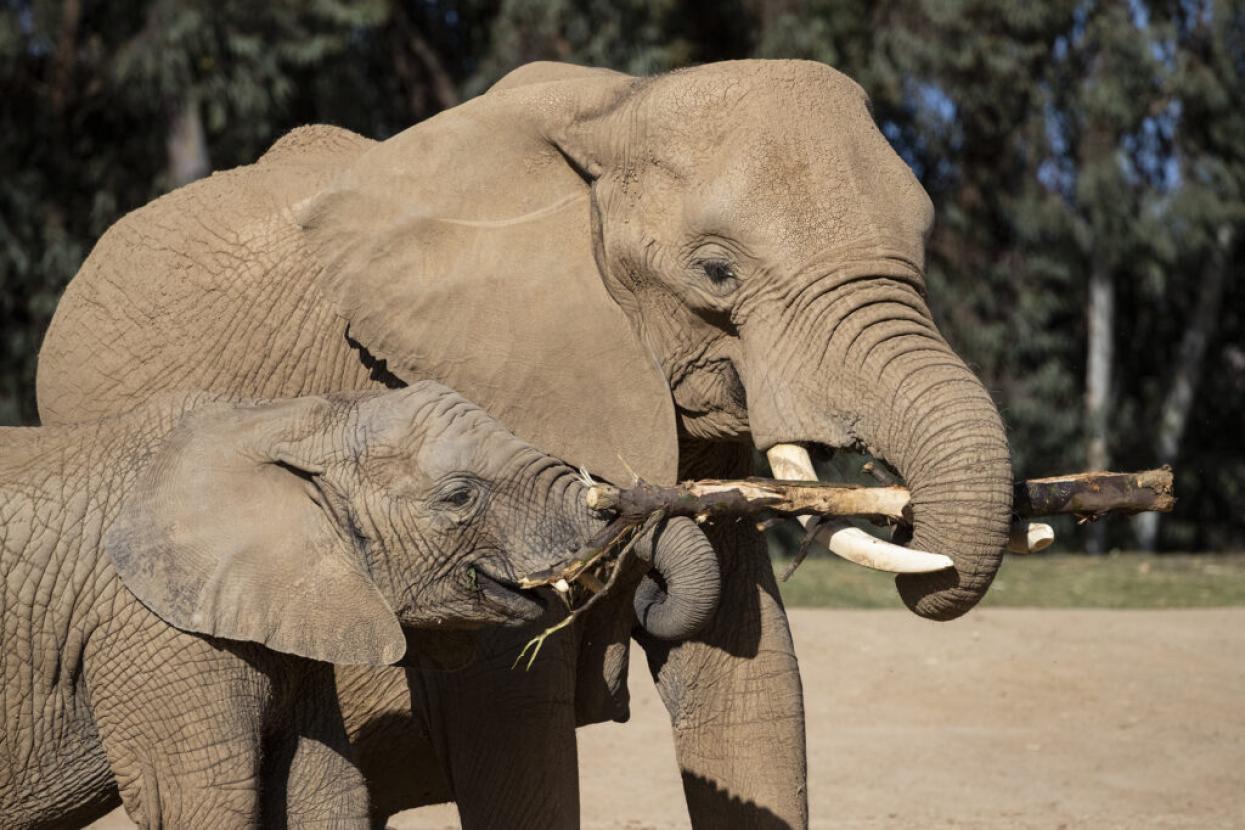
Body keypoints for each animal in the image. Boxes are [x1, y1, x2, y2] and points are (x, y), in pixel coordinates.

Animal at [3, 383, 607, 830]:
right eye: (459, 496)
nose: (616, 503)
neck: (281, 422)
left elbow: (324, 786)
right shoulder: (152, 631)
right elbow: (205, 799)